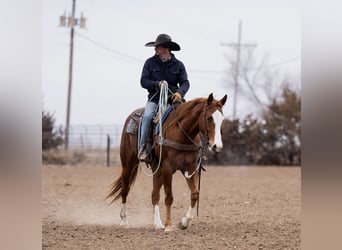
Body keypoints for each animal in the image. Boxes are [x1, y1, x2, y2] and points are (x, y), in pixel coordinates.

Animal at [105, 93, 226, 231]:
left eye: (223, 119)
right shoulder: (168, 168)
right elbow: (169, 197)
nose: (217, 146)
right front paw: (169, 225)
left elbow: (195, 194)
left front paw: (184, 222)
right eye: (209, 118)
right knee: (125, 190)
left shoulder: (190, 168)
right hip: (128, 164)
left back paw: (157, 223)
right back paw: (124, 220)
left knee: (154, 195)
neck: (182, 133)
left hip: (156, 169)